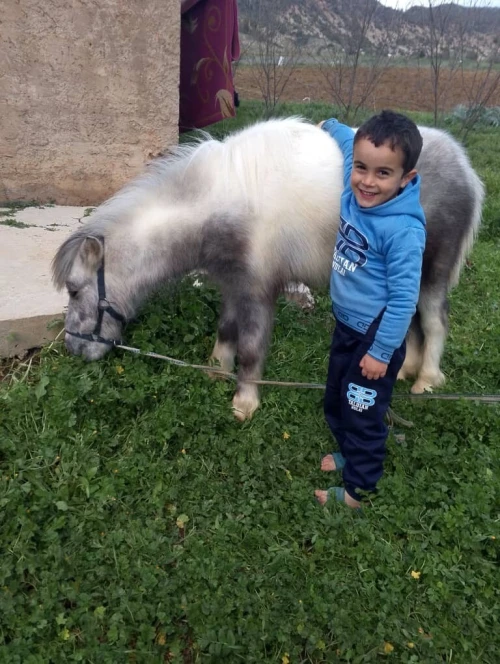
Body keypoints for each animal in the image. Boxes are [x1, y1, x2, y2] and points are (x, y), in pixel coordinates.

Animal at [52, 117, 484, 420]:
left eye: (74, 289)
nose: (73, 348)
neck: (219, 206)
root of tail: (466, 169)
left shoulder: (259, 289)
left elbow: (251, 346)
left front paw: (245, 402)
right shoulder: (232, 283)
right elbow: (226, 331)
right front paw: (215, 372)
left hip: (430, 273)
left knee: (434, 322)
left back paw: (426, 381)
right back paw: (407, 370)